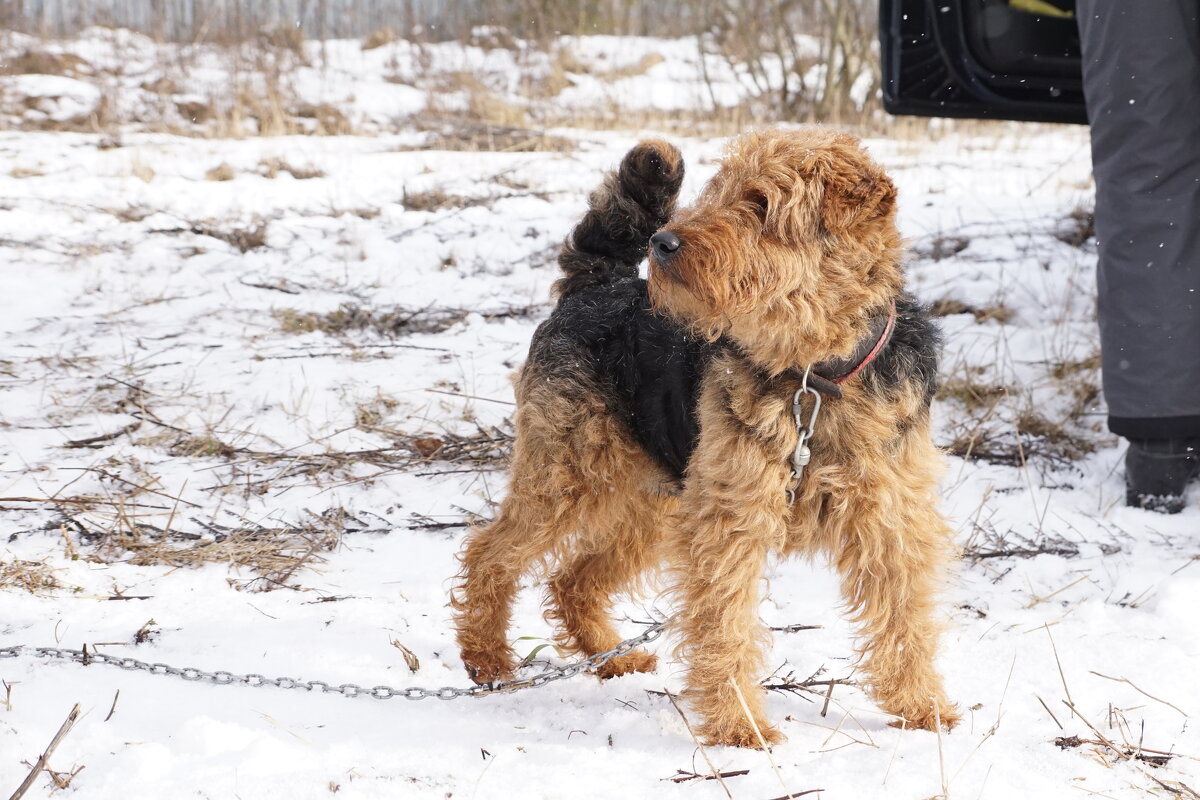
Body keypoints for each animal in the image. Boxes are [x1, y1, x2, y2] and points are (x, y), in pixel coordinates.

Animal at [451, 128, 955, 748]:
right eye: (718, 192)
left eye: (762, 204)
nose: (663, 243)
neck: (812, 377)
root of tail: (596, 284)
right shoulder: (730, 519)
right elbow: (725, 627)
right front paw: (741, 726)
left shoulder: (891, 519)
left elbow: (905, 618)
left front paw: (924, 707)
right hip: (567, 474)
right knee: (490, 552)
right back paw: (488, 658)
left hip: (653, 501)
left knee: (573, 578)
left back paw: (612, 658)